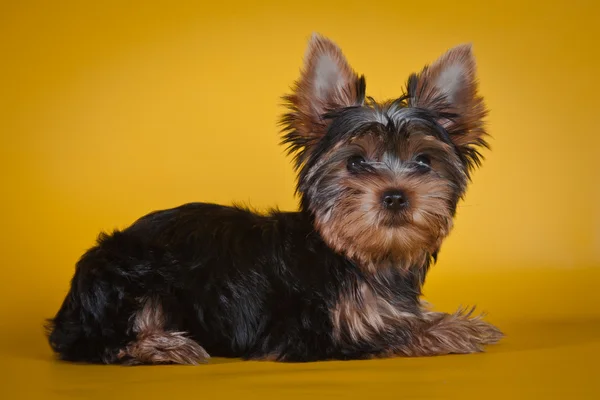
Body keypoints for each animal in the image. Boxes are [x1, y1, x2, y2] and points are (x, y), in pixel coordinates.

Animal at [44, 33, 502, 366]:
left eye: (424, 162)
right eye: (355, 162)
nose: (394, 196)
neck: (359, 256)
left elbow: (404, 317)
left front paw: (446, 321)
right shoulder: (318, 330)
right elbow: (391, 331)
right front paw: (461, 327)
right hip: (131, 275)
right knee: (99, 343)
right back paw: (164, 346)